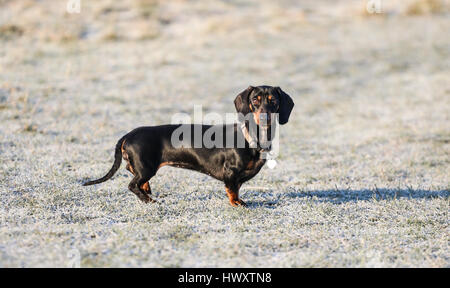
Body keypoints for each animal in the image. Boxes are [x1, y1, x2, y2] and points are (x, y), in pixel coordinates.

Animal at [82, 84, 294, 206]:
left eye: (273, 100)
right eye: (255, 100)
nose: (265, 117)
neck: (250, 136)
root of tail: (128, 135)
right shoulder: (230, 172)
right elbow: (232, 190)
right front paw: (237, 203)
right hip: (147, 167)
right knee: (132, 184)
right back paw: (148, 199)